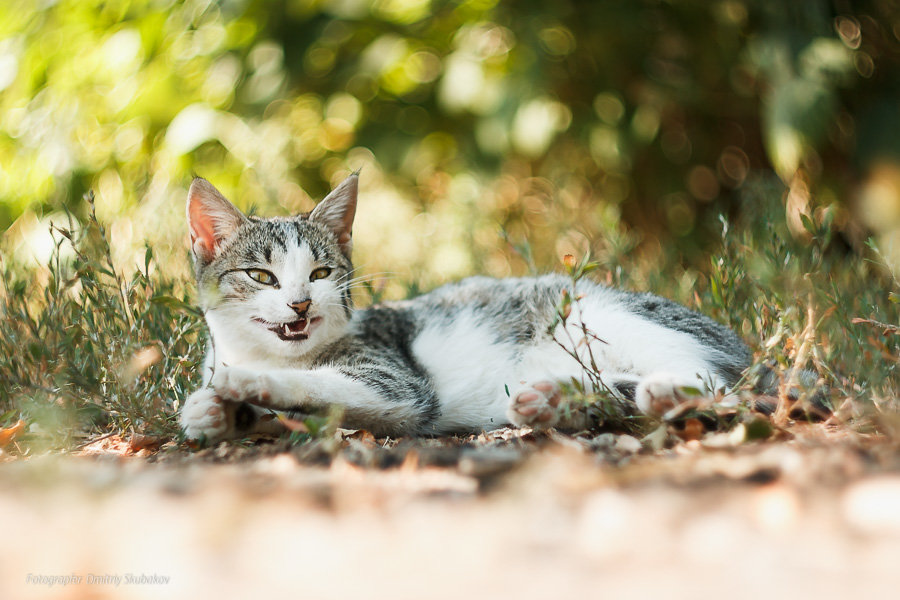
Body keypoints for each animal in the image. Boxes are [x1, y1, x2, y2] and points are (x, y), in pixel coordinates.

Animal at [181, 173, 752, 440]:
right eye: (261, 276)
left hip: (614, 317)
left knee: (716, 383)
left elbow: (323, 385)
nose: (300, 304)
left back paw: (667, 392)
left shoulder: (397, 384)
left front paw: (247, 385)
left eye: (320, 274)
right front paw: (213, 411)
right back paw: (552, 401)